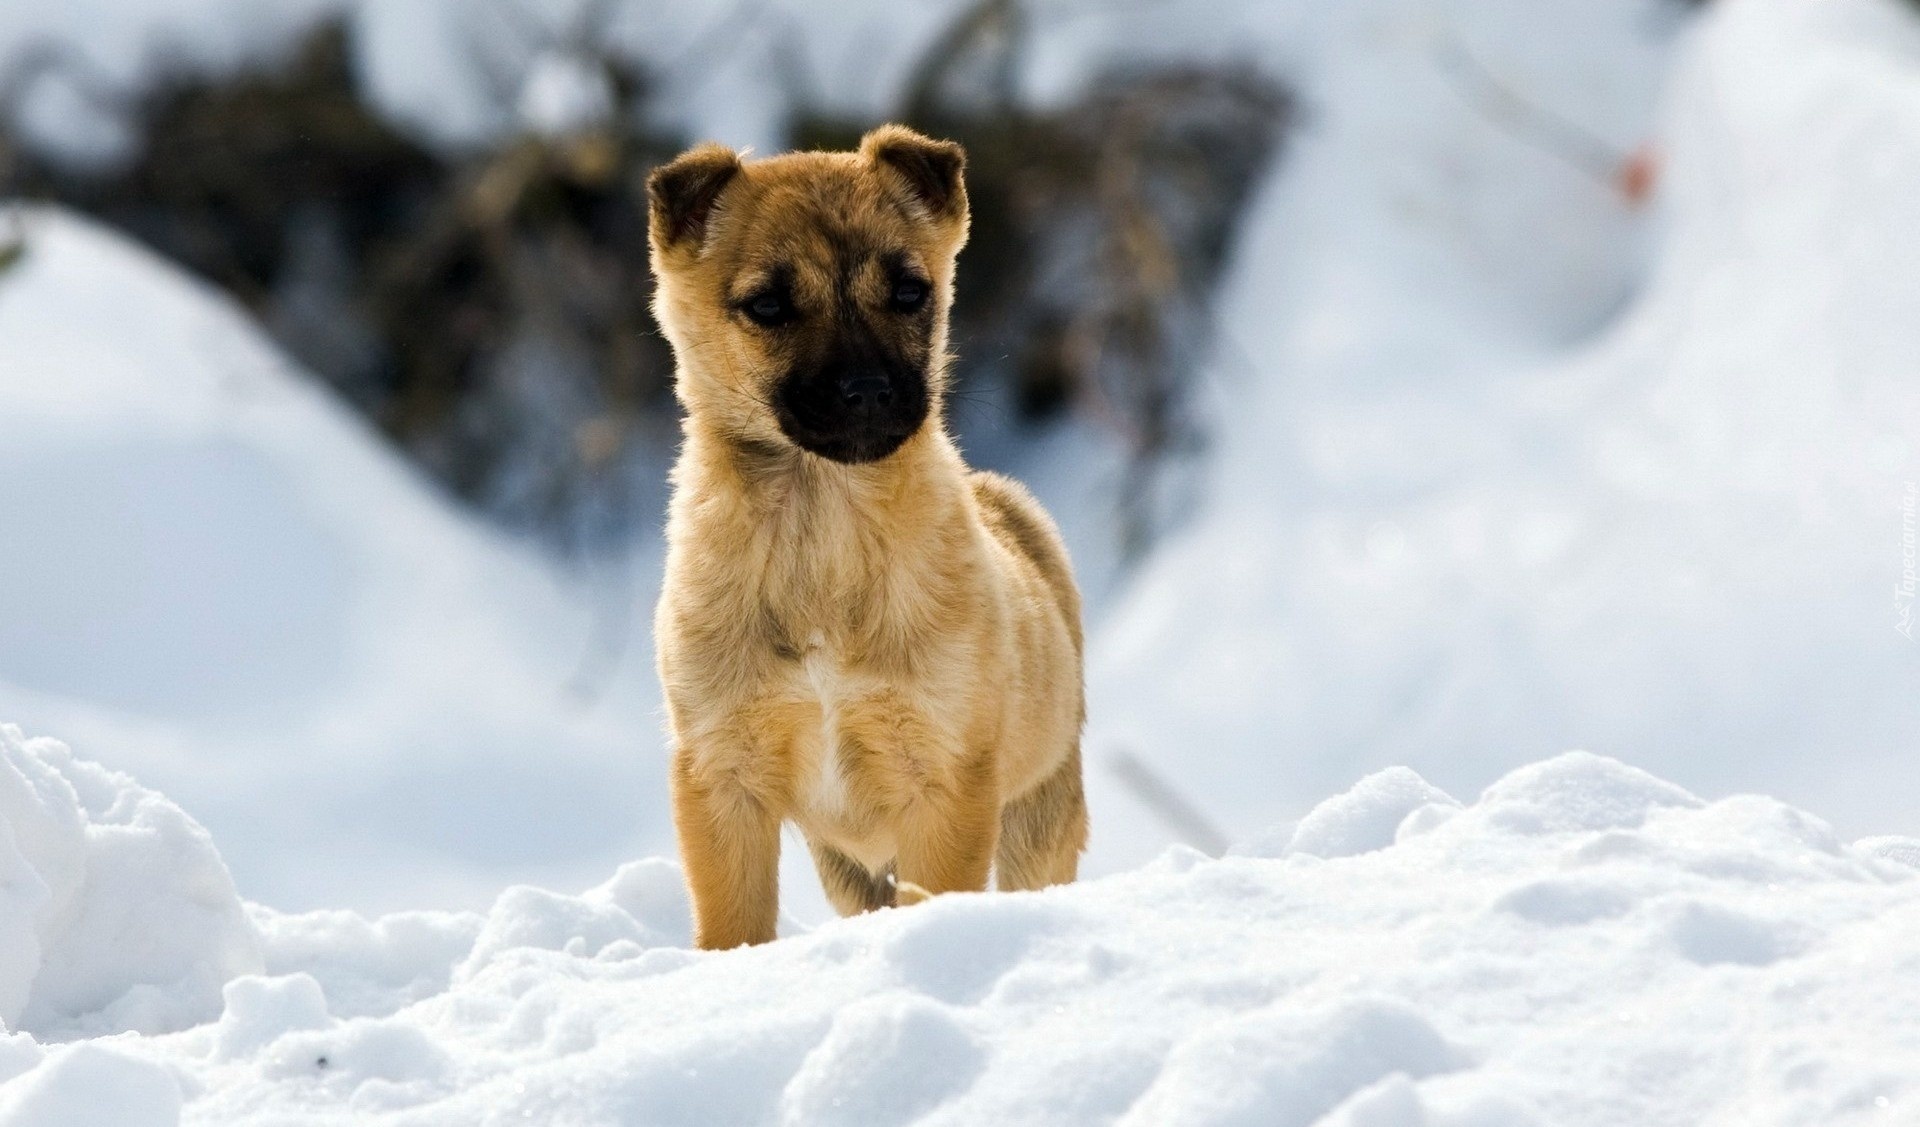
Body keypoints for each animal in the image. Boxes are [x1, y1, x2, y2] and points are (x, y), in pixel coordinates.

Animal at [652, 125, 1090, 952]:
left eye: (911, 291)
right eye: (767, 305)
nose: (867, 393)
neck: (822, 529)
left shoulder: (944, 780)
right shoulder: (723, 776)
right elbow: (734, 926)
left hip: (1041, 815)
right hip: (847, 869)